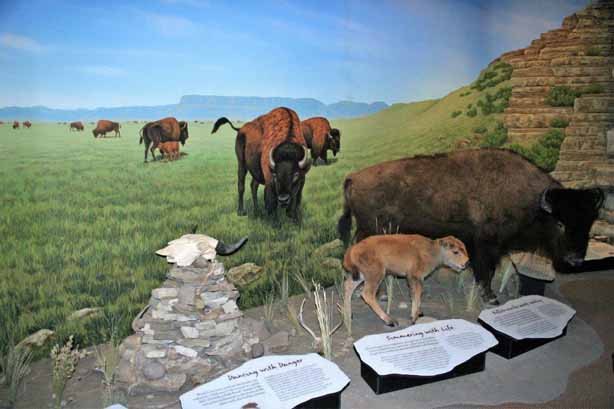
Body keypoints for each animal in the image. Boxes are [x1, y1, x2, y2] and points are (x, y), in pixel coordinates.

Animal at [337, 148, 606, 304]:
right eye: (560, 223)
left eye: (589, 221)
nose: (575, 260)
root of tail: (353, 177)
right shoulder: (487, 245)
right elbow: (486, 271)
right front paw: (490, 298)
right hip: (370, 231)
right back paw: (379, 293)